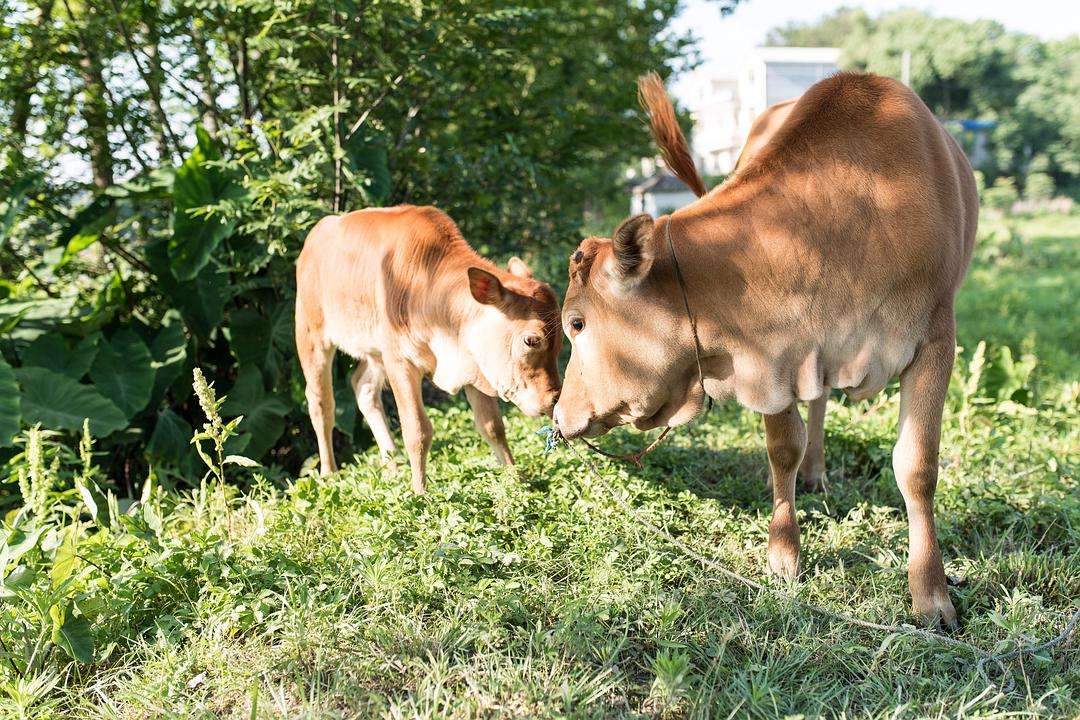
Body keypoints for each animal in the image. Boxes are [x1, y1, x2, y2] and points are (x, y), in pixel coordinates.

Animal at [298, 205, 561, 492]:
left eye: (562, 339)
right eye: (531, 340)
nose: (554, 400)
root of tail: (317, 234)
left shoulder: (473, 365)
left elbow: (492, 426)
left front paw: (517, 480)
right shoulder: (400, 361)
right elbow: (417, 430)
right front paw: (419, 491)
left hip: (374, 354)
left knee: (363, 389)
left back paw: (392, 464)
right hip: (312, 336)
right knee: (321, 402)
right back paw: (329, 473)